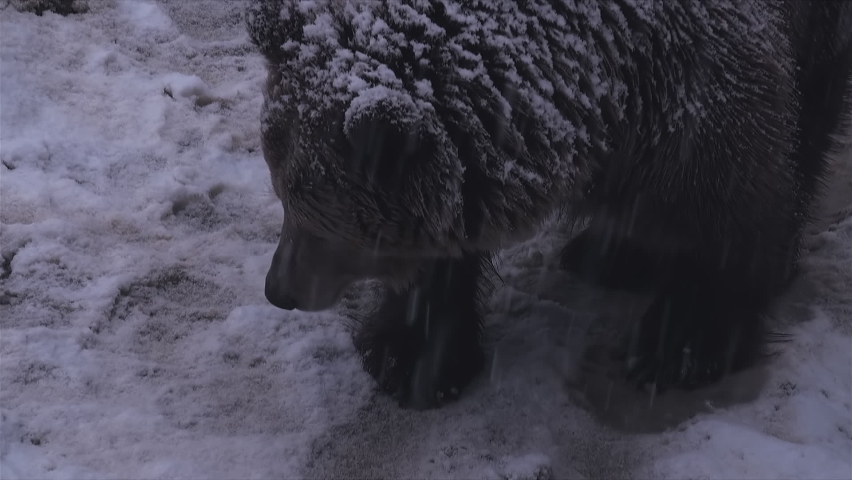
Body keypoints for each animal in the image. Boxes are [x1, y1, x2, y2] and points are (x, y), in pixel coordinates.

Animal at [246, 0, 852, 409]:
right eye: (282, 191)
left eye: (319, 218)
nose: (278, 290)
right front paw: (409, 355)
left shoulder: (706, 89)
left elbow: (734, 215)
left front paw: (680, 347)